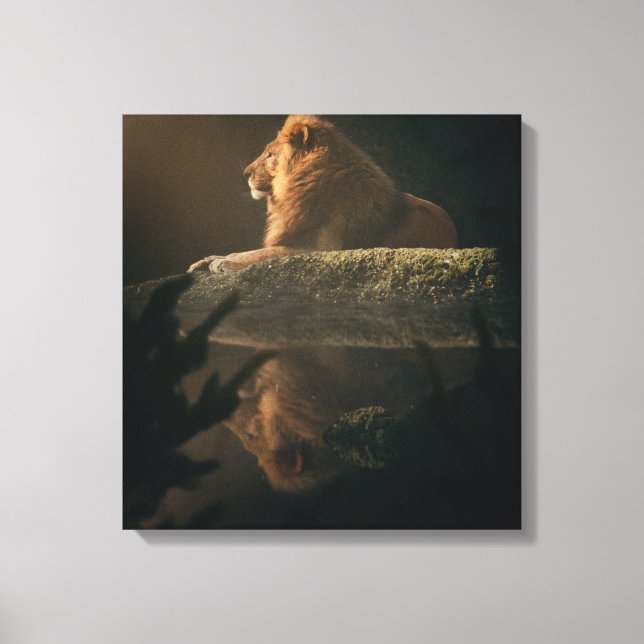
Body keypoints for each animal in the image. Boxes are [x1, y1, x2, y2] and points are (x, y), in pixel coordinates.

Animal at [188, 115, 458, 272]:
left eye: (270, 155)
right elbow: (249, 250)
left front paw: (224, 262)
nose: (245, 173)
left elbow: (265, 254)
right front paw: (206, 259)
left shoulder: (320, 249)